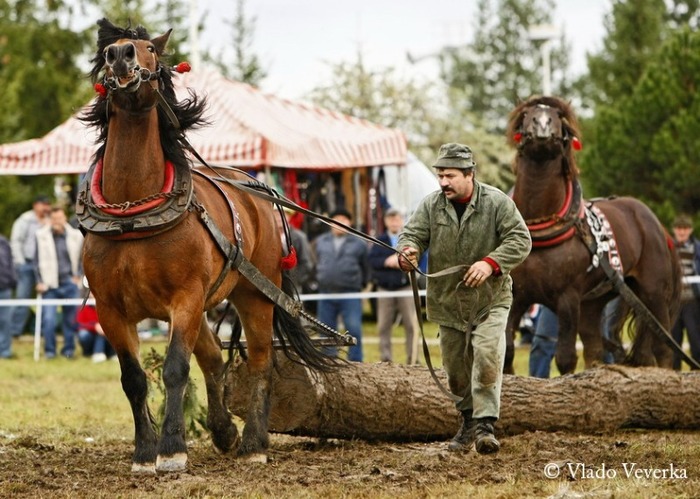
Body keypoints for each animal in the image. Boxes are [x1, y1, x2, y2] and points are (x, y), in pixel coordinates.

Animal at [78, 18, 340, 472]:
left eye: (149, 48)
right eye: (109, 50)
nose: (120, 56)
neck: (131, 212)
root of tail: (256, 188)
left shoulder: (185, 298)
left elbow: (175, 369)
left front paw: (171, 449)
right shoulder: (111, 309)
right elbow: (134, 379)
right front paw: (144, 452)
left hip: (255, 294)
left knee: (259, 362)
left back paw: (254, 443)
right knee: (215, 359)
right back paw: (224, 432)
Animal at [500, 94, 680, 376]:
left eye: (557, 117)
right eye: (528, 115)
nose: (542, 125)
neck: (539, 225)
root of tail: (655, 223)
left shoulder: (568, 298)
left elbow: (565, 357)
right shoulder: (517, 295)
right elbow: (506, 350)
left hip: (653, 293)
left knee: (663, 347)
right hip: (593, 304)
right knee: (596, 349)